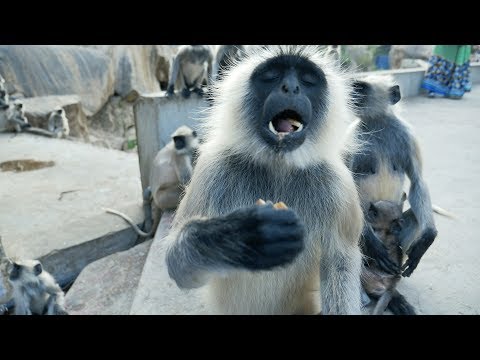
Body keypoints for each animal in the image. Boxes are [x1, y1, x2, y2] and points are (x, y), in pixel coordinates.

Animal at [163, 45, 362, 316]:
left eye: (307, 80)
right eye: (272, 75)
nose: (291, 87)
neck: (278, 165)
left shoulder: (337, 185)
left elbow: (339, 263)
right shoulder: (214, 167)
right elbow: (175, 261)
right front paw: (247, 235)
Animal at [348, 75, 438, 284]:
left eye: (361, 89)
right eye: (356, 87)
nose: (352, 94)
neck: (378, 124)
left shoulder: (407, 136)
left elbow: (417, 181)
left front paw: (427, 238)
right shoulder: (351, 139)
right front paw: (372, 243)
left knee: (414, 216)